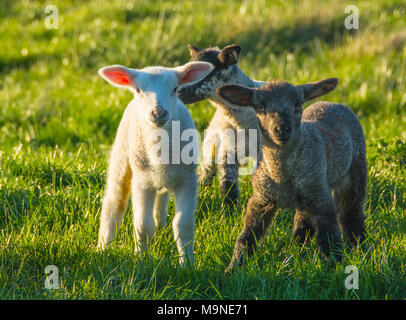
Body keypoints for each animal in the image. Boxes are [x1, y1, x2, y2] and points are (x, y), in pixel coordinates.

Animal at [96, 60, 214, 264]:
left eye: (175, 89)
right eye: (138, 90)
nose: (158, 113)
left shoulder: (187, 181)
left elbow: (183, 225)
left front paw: (188, 264)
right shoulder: (142, 183)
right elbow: (143, 226)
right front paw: (142, 260)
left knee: (161, 198)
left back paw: (161, 225)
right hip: (122, 154)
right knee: (115, 201)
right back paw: (103, 247)